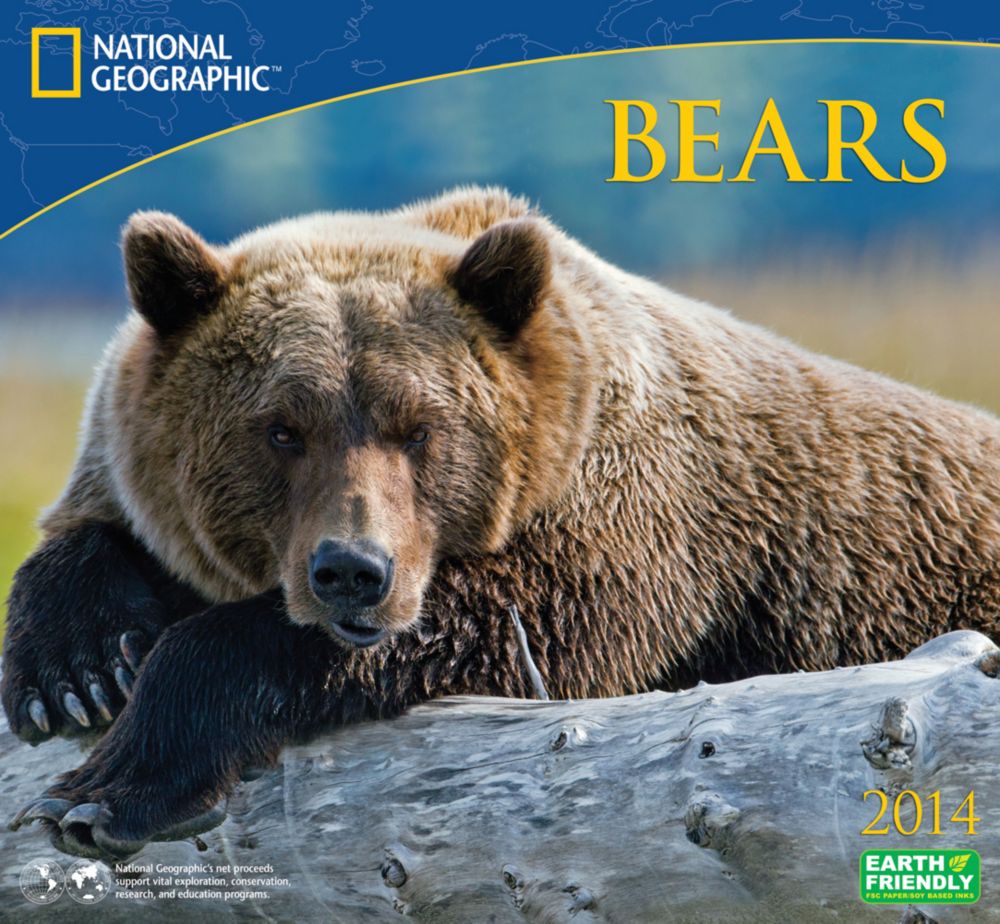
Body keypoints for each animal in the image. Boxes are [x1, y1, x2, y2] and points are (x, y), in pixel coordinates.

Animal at [5, 186, 1000, 859]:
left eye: (419, 427)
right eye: (282, 429)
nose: (352, 571)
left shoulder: (622, 527)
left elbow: (496, 622)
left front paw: (100, 791)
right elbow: (89, 539)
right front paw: (76, 671)